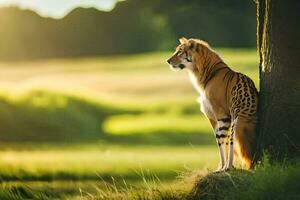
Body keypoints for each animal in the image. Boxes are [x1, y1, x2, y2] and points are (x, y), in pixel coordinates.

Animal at [166, 37, 258, 170]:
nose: (167, 61)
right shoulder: (213, 118)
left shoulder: (223, 116)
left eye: (180, 52)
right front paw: (220, 167)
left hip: (236, 123)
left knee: (233, 142)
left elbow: (222, 141)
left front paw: (225, 168)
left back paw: (229, 166)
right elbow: (220, 142)